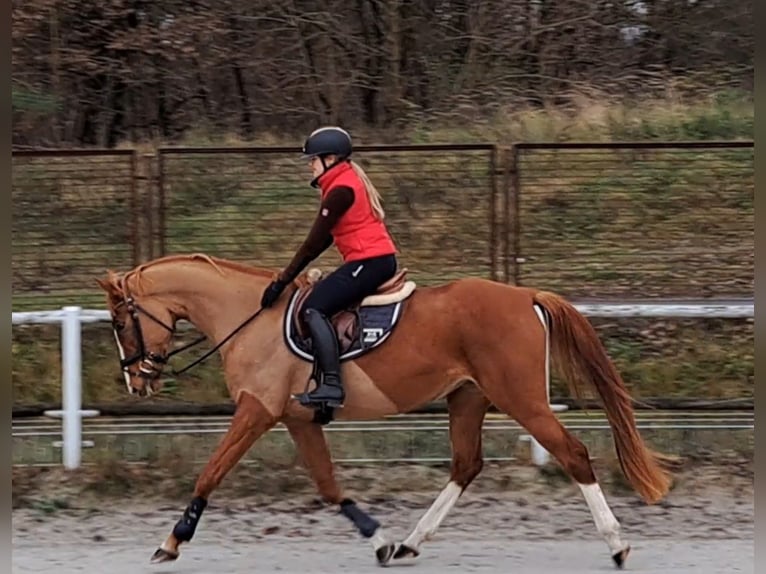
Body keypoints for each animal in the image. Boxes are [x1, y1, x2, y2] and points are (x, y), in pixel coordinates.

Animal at [97, 255, 680, 572]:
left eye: (121, 323)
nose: (135, 381)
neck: (249, 317)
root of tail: (525, 296)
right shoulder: (297, 419)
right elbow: (329, 486)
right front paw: (379, 540)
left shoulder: (256, 412)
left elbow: (210, 472)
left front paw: (171, 541)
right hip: (468, 399)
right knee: (466, 466)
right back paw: (411, 542)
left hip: (523, 401)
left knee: (574, 455)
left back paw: (619, 545)